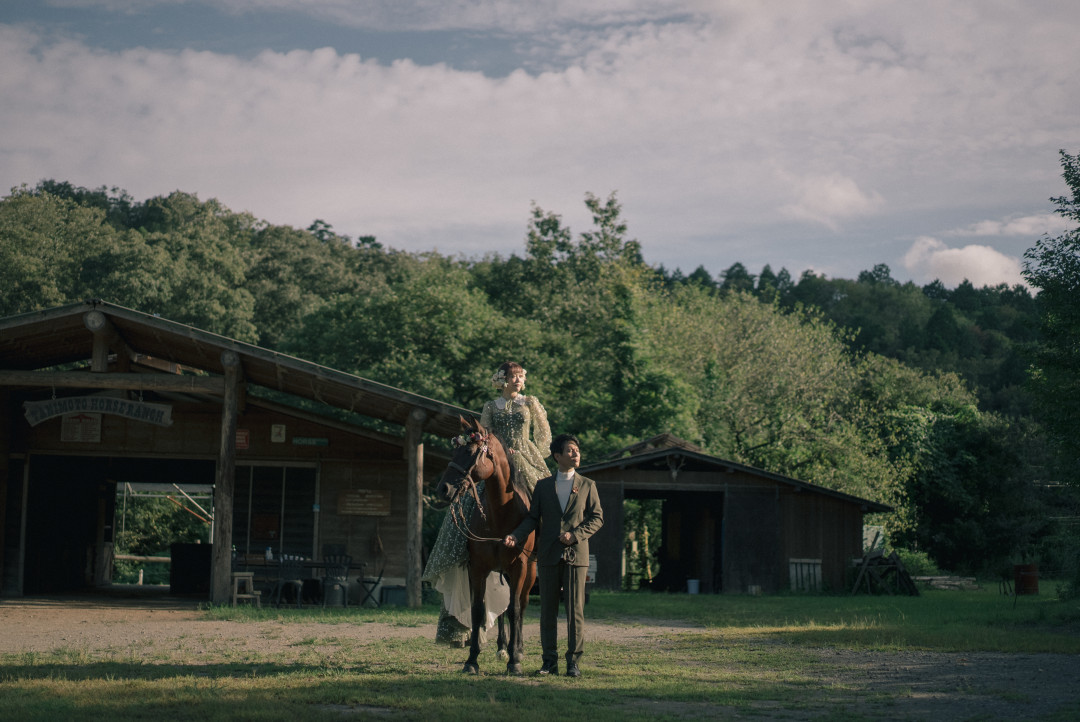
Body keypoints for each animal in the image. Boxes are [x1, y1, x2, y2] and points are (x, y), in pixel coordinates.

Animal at [436, 414, 537, 673]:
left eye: (471, 452)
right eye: (455, 451)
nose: (443, 489)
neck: (501, 514)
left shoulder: (520, 567)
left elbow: (515, 609)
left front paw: (515, 661)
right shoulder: (478, 568)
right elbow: (478, 610)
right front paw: (472, 659)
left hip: (530, 570)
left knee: (521, 605)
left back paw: (517, 649)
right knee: (500, 610)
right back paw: (502, 648)